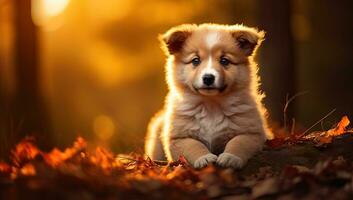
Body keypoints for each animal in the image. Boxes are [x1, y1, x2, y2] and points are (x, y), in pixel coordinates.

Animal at [144, 23, 270, 169]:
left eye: (224, 61)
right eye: (196, 60)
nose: (208, 78)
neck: (211, 105)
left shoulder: (252, 132)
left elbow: (238, 142)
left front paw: (230, 157)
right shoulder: (178, 137)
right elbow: (193, 145)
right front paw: (204, 158)